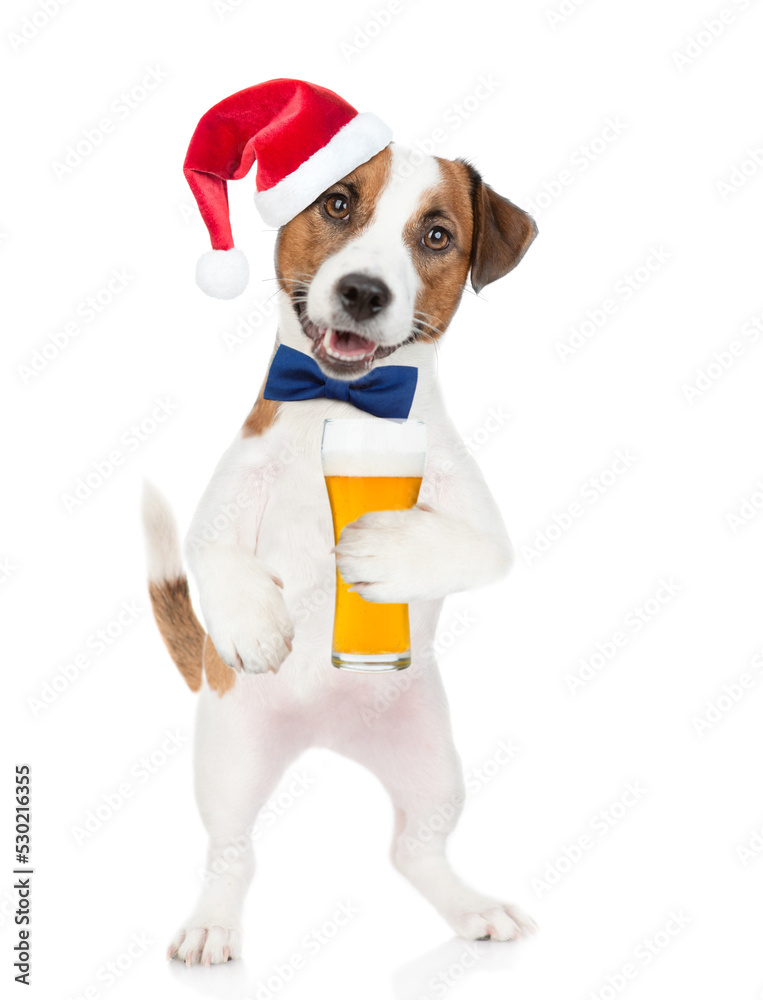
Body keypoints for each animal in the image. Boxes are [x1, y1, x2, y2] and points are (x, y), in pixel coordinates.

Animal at [143, 97, 536, 964]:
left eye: (436, 235)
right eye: (336, 203)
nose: (361, 291)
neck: (344, 403)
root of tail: (325, 731)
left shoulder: (479, 524)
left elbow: (470, 547)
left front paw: (375, 550)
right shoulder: (228, 490)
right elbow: (210, 545)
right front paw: (254, 623)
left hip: (432, 766)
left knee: (415, 850)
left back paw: (470, 909)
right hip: (229, 760)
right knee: (231, 853)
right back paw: (212, 923)